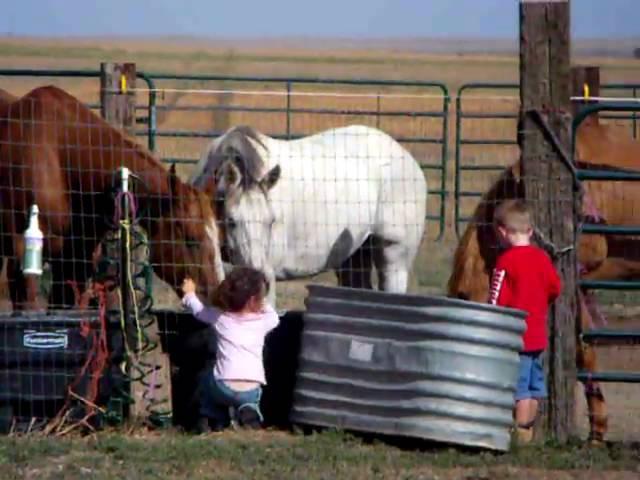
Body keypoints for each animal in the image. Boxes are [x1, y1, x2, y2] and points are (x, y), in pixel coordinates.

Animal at [191, 124, 430, 304]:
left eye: (271, 221)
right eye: (231, 221)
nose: (257, 278)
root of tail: (407, 158)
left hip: (394, 258)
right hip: (354, 257)